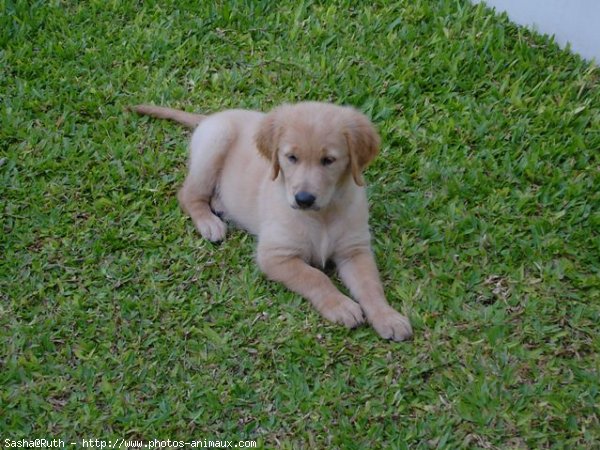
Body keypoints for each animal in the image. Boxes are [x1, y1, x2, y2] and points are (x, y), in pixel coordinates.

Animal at [131, 102, 412, 342]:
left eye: (329, 160)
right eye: (291, 157)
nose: (304, 199)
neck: (321, 215)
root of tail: (212, 117)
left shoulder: (355, 250)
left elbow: (370, 286)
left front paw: (388, 317)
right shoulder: (276, 255)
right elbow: (315, 277)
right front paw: (341, 305)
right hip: (215, 143)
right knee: (188, 194)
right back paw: (209, 222)